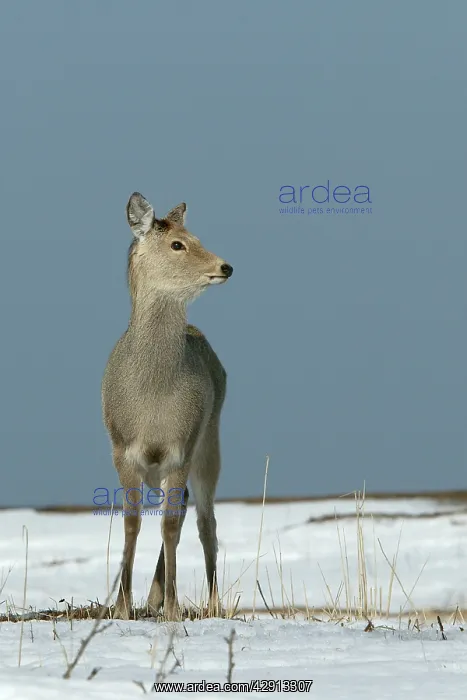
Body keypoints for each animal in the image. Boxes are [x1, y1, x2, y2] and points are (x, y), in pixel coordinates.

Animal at [101, 192, 233, 620]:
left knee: (206, 519)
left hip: (210, 442)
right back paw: (153, 596)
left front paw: (174, 608)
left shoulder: (181, 448)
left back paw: (212, 602)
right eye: (178, 244)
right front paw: (122, 606)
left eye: (196, 237)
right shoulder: (122, 449)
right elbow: (132, 523)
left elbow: (172, 527)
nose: (225, 266)